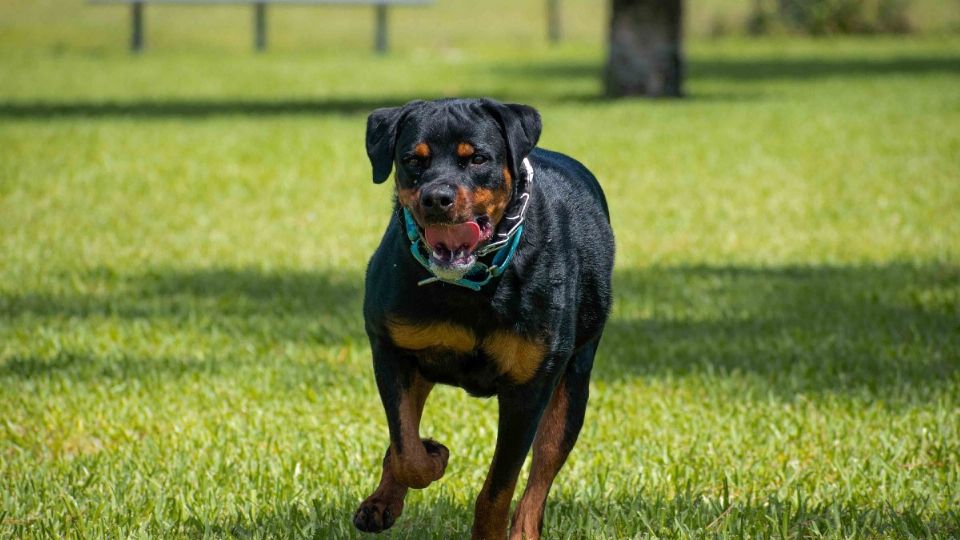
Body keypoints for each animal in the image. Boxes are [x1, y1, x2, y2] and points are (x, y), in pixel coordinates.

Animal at [354, 98, 616, 540]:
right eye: (412, 160)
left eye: (477, 158)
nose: (437, 197)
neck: (469, 285)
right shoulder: (389, 348)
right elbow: (406, 448)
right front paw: (432, 457)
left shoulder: (529, 388)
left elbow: (500, 487)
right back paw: (382, 501)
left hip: (574, 382)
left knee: (543, 470)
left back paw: (524, 530)